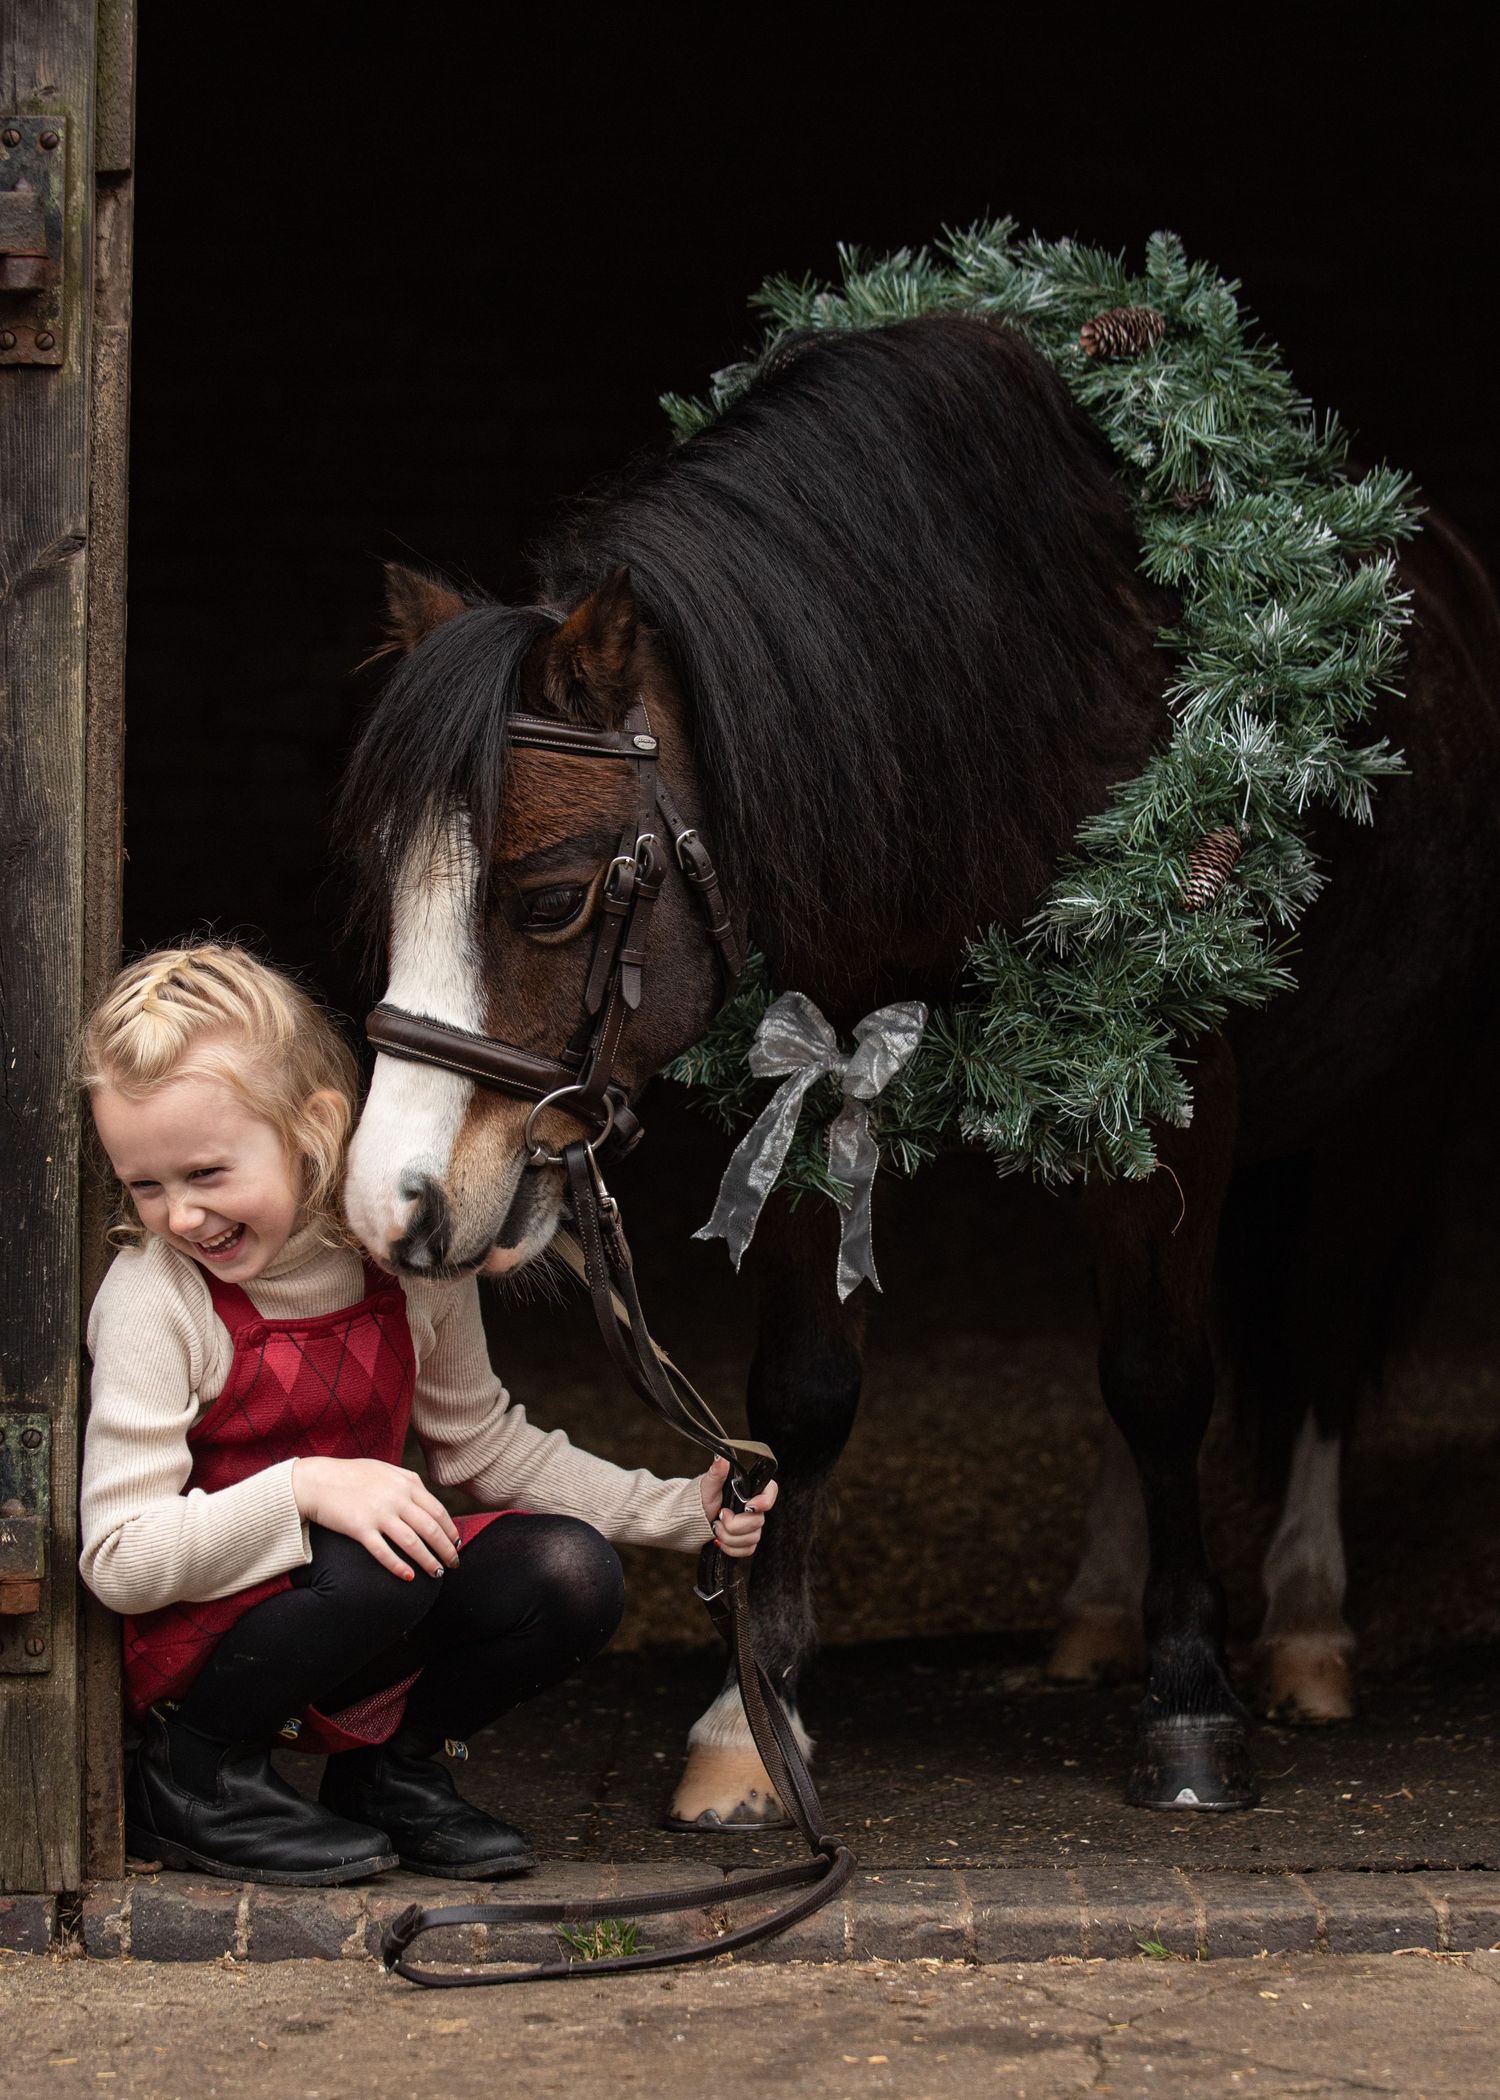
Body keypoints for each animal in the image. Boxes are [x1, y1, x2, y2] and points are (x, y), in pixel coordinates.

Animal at [338, 312, 1500, 1820]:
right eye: (389, 891)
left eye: (547, 903)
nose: (392, 1201)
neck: (1000, 720)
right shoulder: (815, 1072)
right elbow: (811, 1394)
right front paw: (751, 1718)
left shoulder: (1188, 1090)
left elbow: (1165, 1379)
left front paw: (1194, 1704)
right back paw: (1100, 1610)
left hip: (1385, 1108)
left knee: (1318, 1346)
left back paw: (1304, 1625)